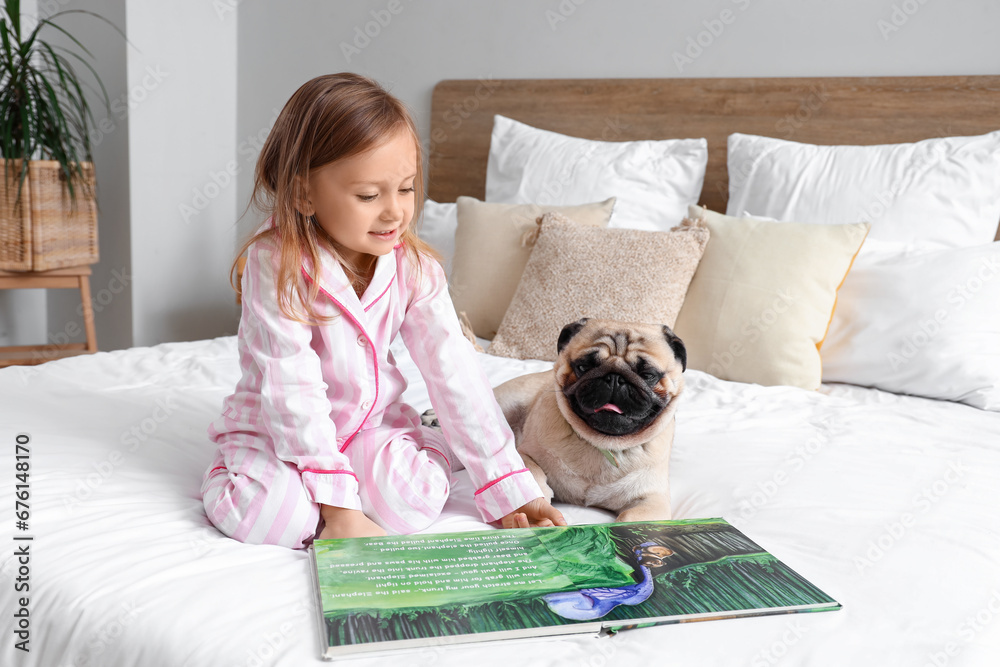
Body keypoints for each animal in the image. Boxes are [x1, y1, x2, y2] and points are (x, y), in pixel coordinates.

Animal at [492, 320, 688, 524]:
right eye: (583, 367)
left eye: (648, 375)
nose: (615, 378)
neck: (602, 444)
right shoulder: (525, 454)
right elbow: (532, 476)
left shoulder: (652, 500)